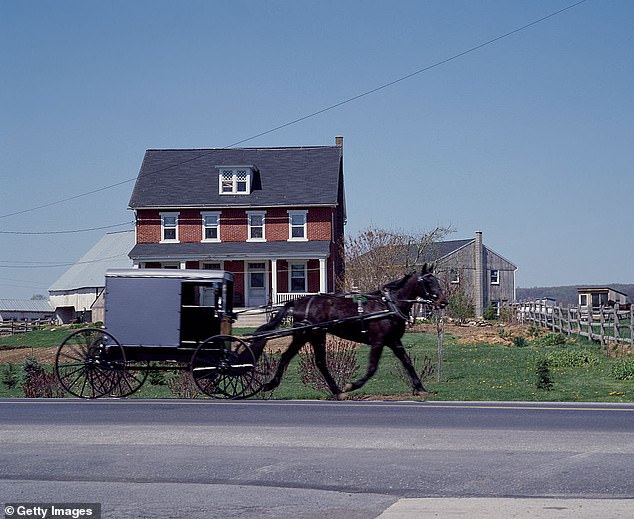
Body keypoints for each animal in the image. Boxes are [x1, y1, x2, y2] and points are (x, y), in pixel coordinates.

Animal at [249, 266, 446, 400]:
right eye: (428, 282)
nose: (443, 302)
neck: (389, 305)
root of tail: (298, 302)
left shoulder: (394, 340)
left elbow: (407, 362)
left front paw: (420, 388)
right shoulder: (379, 341)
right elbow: (372, 368)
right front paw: (352, 385)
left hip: (309, 335)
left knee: (299, 359)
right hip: (309, 334)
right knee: (309, 360)